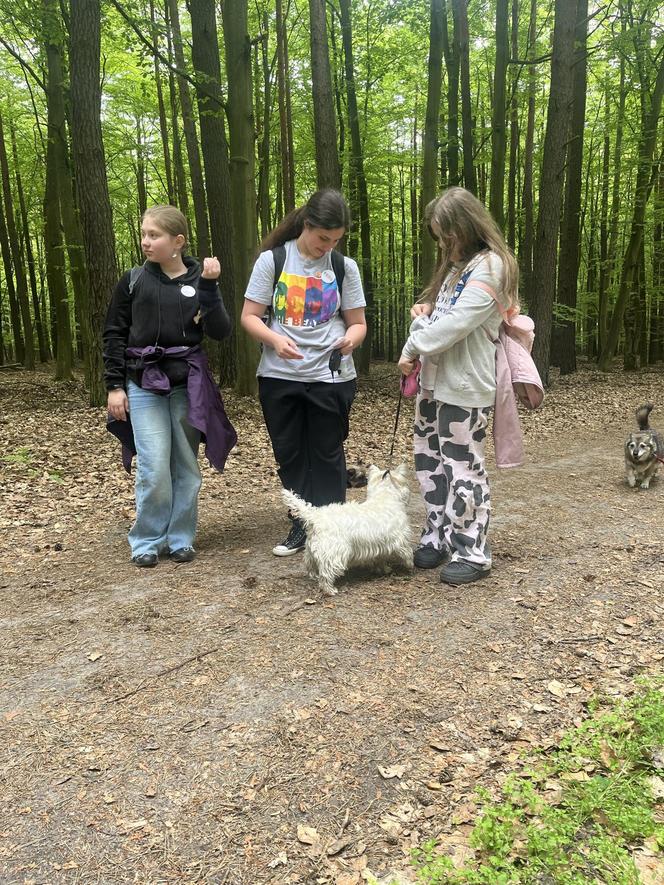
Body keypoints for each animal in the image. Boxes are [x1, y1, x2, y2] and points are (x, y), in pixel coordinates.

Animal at [282, 462, 416, 592]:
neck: (384, 497)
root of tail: (315, 516)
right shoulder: (400, 538)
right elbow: (407, 552)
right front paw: (410, 565)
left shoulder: (379, 544)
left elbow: (379, 558)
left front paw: (383, 569)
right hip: (335, 552)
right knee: (326, 572)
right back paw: (329, 590)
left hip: (312, 549)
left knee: (310, 564)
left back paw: (314, 576)